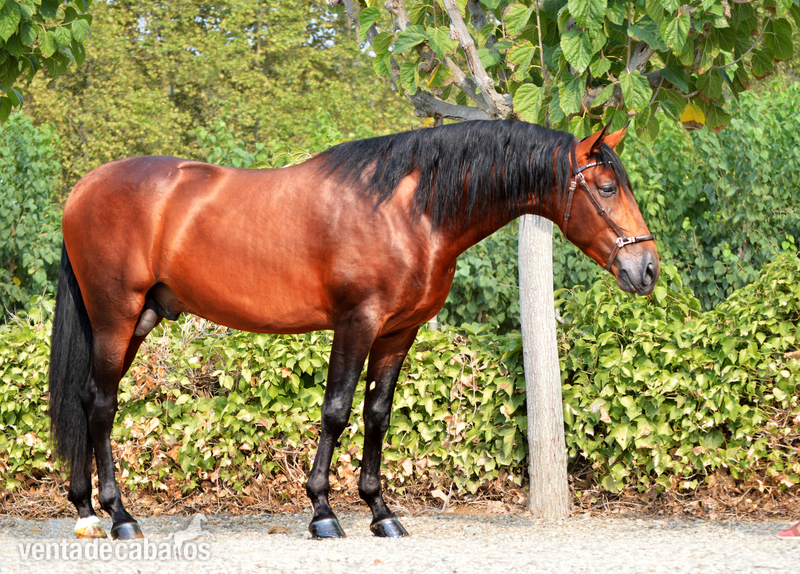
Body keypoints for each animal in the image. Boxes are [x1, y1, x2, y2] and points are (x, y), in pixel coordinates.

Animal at [49, 119, 659, 540]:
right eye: (607, 188)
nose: (646, 269)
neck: (410, 211)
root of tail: (82, 190)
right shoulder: (356, 322)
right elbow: (336, 412)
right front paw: (322, 512)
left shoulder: (397, 333)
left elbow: (377, 416)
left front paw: (380, 512)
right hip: (115, 316)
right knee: (102, 405)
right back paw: (119, 516)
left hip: (140, 319)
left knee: (86, 399)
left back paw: (85, 511)